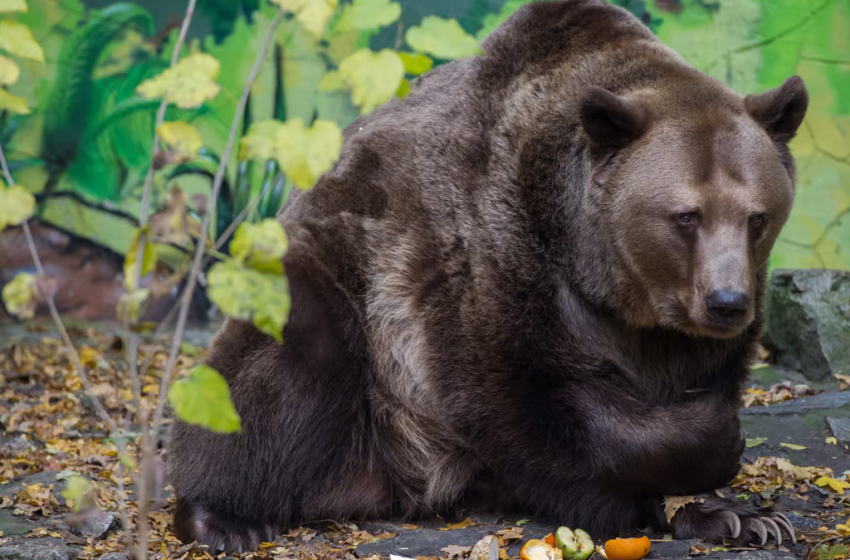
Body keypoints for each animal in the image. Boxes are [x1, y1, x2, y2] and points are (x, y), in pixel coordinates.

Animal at [167, 0, 808, 552]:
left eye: (757, 216)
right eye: (685, 215)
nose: (727, 302)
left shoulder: (686, 334)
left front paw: (735, 512)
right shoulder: (490, 257)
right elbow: (533, 402)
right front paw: (719, 441)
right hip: (333, 288)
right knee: (275, 375)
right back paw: (222, 516)